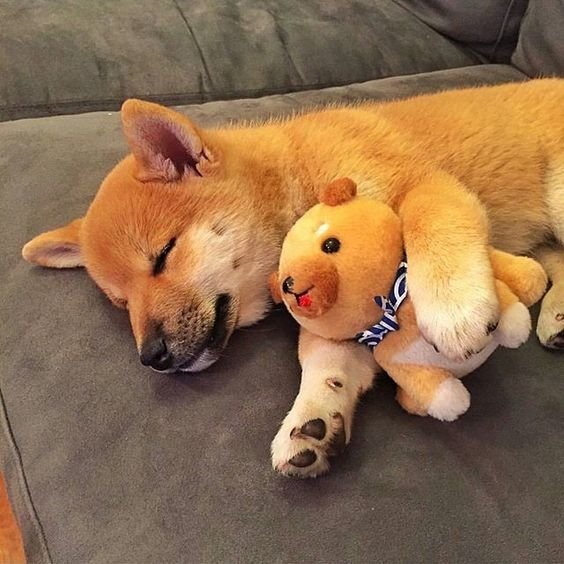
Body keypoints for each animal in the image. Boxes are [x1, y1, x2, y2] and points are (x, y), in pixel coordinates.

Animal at [22, 79, 564, 476]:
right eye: (121, 303)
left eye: (162, 256)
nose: (151, 357)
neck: (292, 178)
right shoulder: (331, 317)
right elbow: (324, 364)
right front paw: (314, 418)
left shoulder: (425, 185)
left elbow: (433, 222)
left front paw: (455, 308)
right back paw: (556, 318)